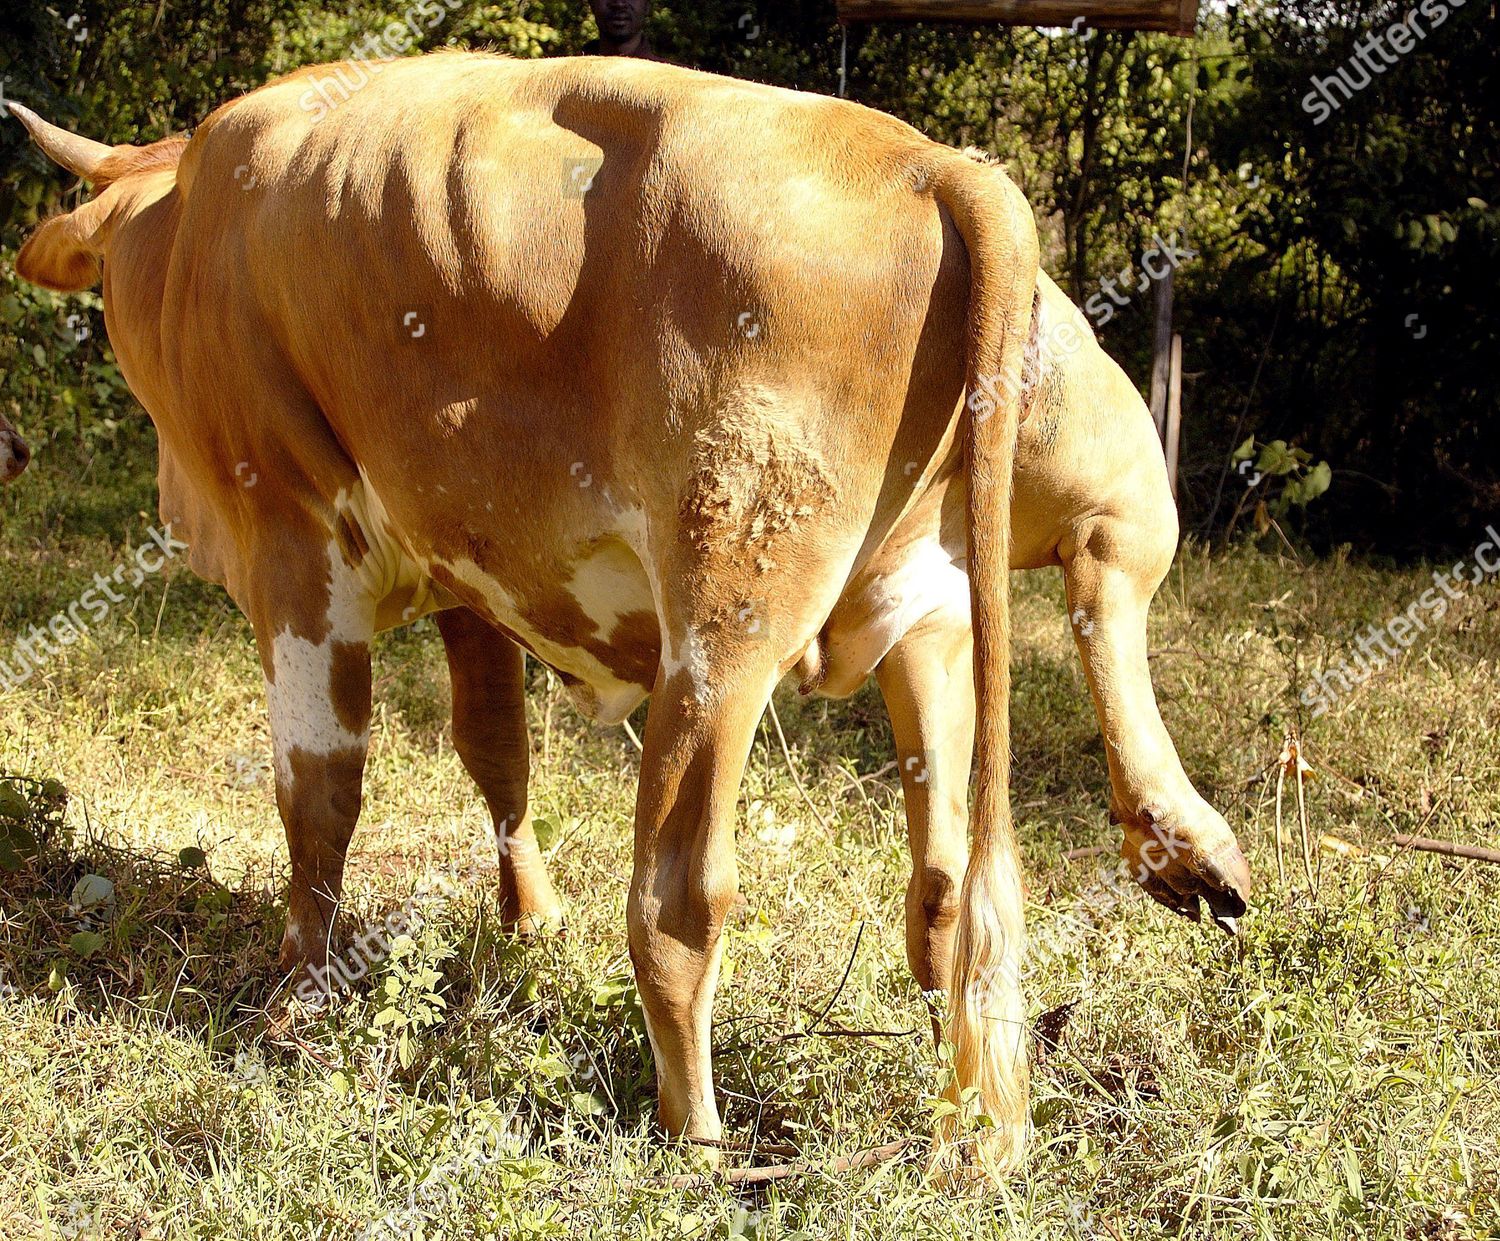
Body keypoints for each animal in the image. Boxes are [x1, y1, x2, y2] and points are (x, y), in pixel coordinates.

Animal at [8, 53, 1254, 1176]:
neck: (186, 218)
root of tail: (930, 163)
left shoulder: (292, 542)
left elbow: (320, 792)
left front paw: (295, 1001)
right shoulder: (473, 576)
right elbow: (494, 750)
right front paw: (527, 917)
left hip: (728, 617)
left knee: (680, 896)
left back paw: (691, 1130)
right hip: (985, 570)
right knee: (976, 834)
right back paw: (1166, 860)